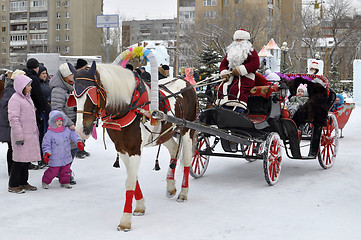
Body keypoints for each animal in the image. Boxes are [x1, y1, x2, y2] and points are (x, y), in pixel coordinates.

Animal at [69, 62, 197, 231]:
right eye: (74, 95)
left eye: (92, 94)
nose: (80, 130)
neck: (129, 107)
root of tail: (186, 82)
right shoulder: (122, 149)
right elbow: (133, 177)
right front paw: (140, 206)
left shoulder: (135, 149)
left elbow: (129, 182)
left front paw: (125, 220)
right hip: (165, 134)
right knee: (174, 150)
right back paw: (170, 186)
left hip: (187, 130)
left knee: (188, 159)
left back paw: (183, 192)